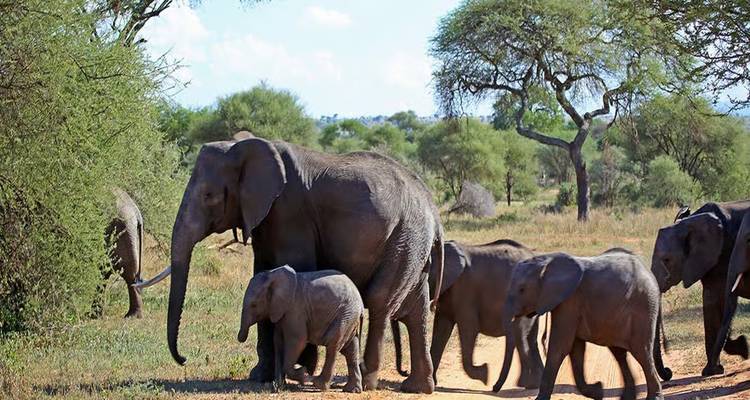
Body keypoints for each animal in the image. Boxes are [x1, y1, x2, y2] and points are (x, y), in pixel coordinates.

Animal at [137, 137, 444, 393]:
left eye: (209, 196)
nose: (184, 358)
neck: (246, 147)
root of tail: (433, 209)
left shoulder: (289, 210)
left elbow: (295, 265)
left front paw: (301, 370)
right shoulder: (264, 216)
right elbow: (261, 271)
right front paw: (261, 376)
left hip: (406, 236)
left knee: (380, 301)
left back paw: (366, 381)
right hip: (411, 242)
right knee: (415, 310)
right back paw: (416, 388)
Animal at [391, 239, 543, 388]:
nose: (405, 371)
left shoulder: (465, 290)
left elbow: (469, 328)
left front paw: (485, 374)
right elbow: (441, 329)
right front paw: (433, 383)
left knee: (520, 334)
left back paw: (527, 384)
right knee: (531, 337)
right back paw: (532, 384)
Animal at [493, 248, 665, 400]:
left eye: (522, 289)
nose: (494, 388)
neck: (547, 261)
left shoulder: (570, 301)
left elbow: (560, 346)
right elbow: (576, 349)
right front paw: (597, 391)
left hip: (643, 308)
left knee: (642, 352)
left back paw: (654, 397)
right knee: (619, 353)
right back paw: (627, 397)